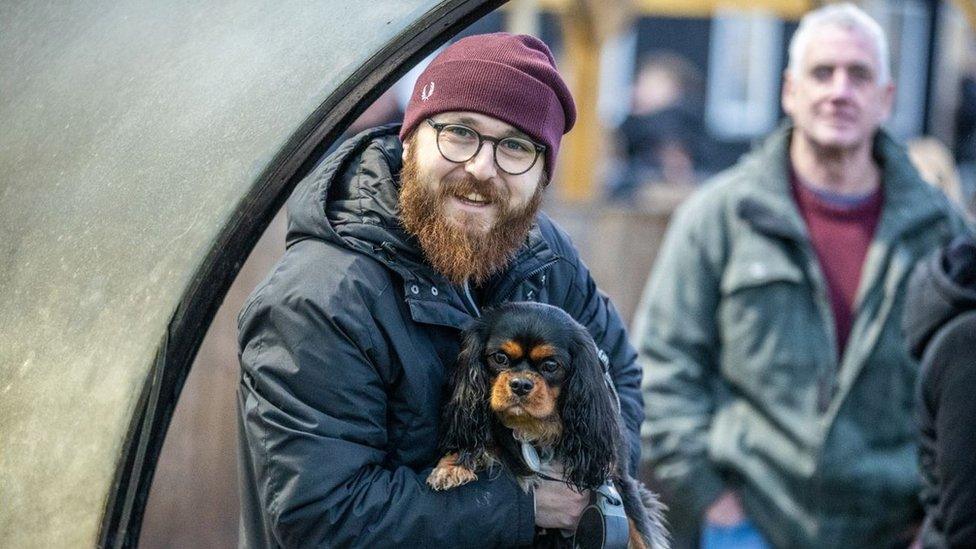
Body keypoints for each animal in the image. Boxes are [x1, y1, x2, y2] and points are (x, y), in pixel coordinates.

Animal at [428, 302, 672, 548]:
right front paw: (452, 464)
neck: (536, 426)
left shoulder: (618, 484)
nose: (520, 384)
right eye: (500, 358)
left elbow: (641, 535)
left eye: (551, 365)